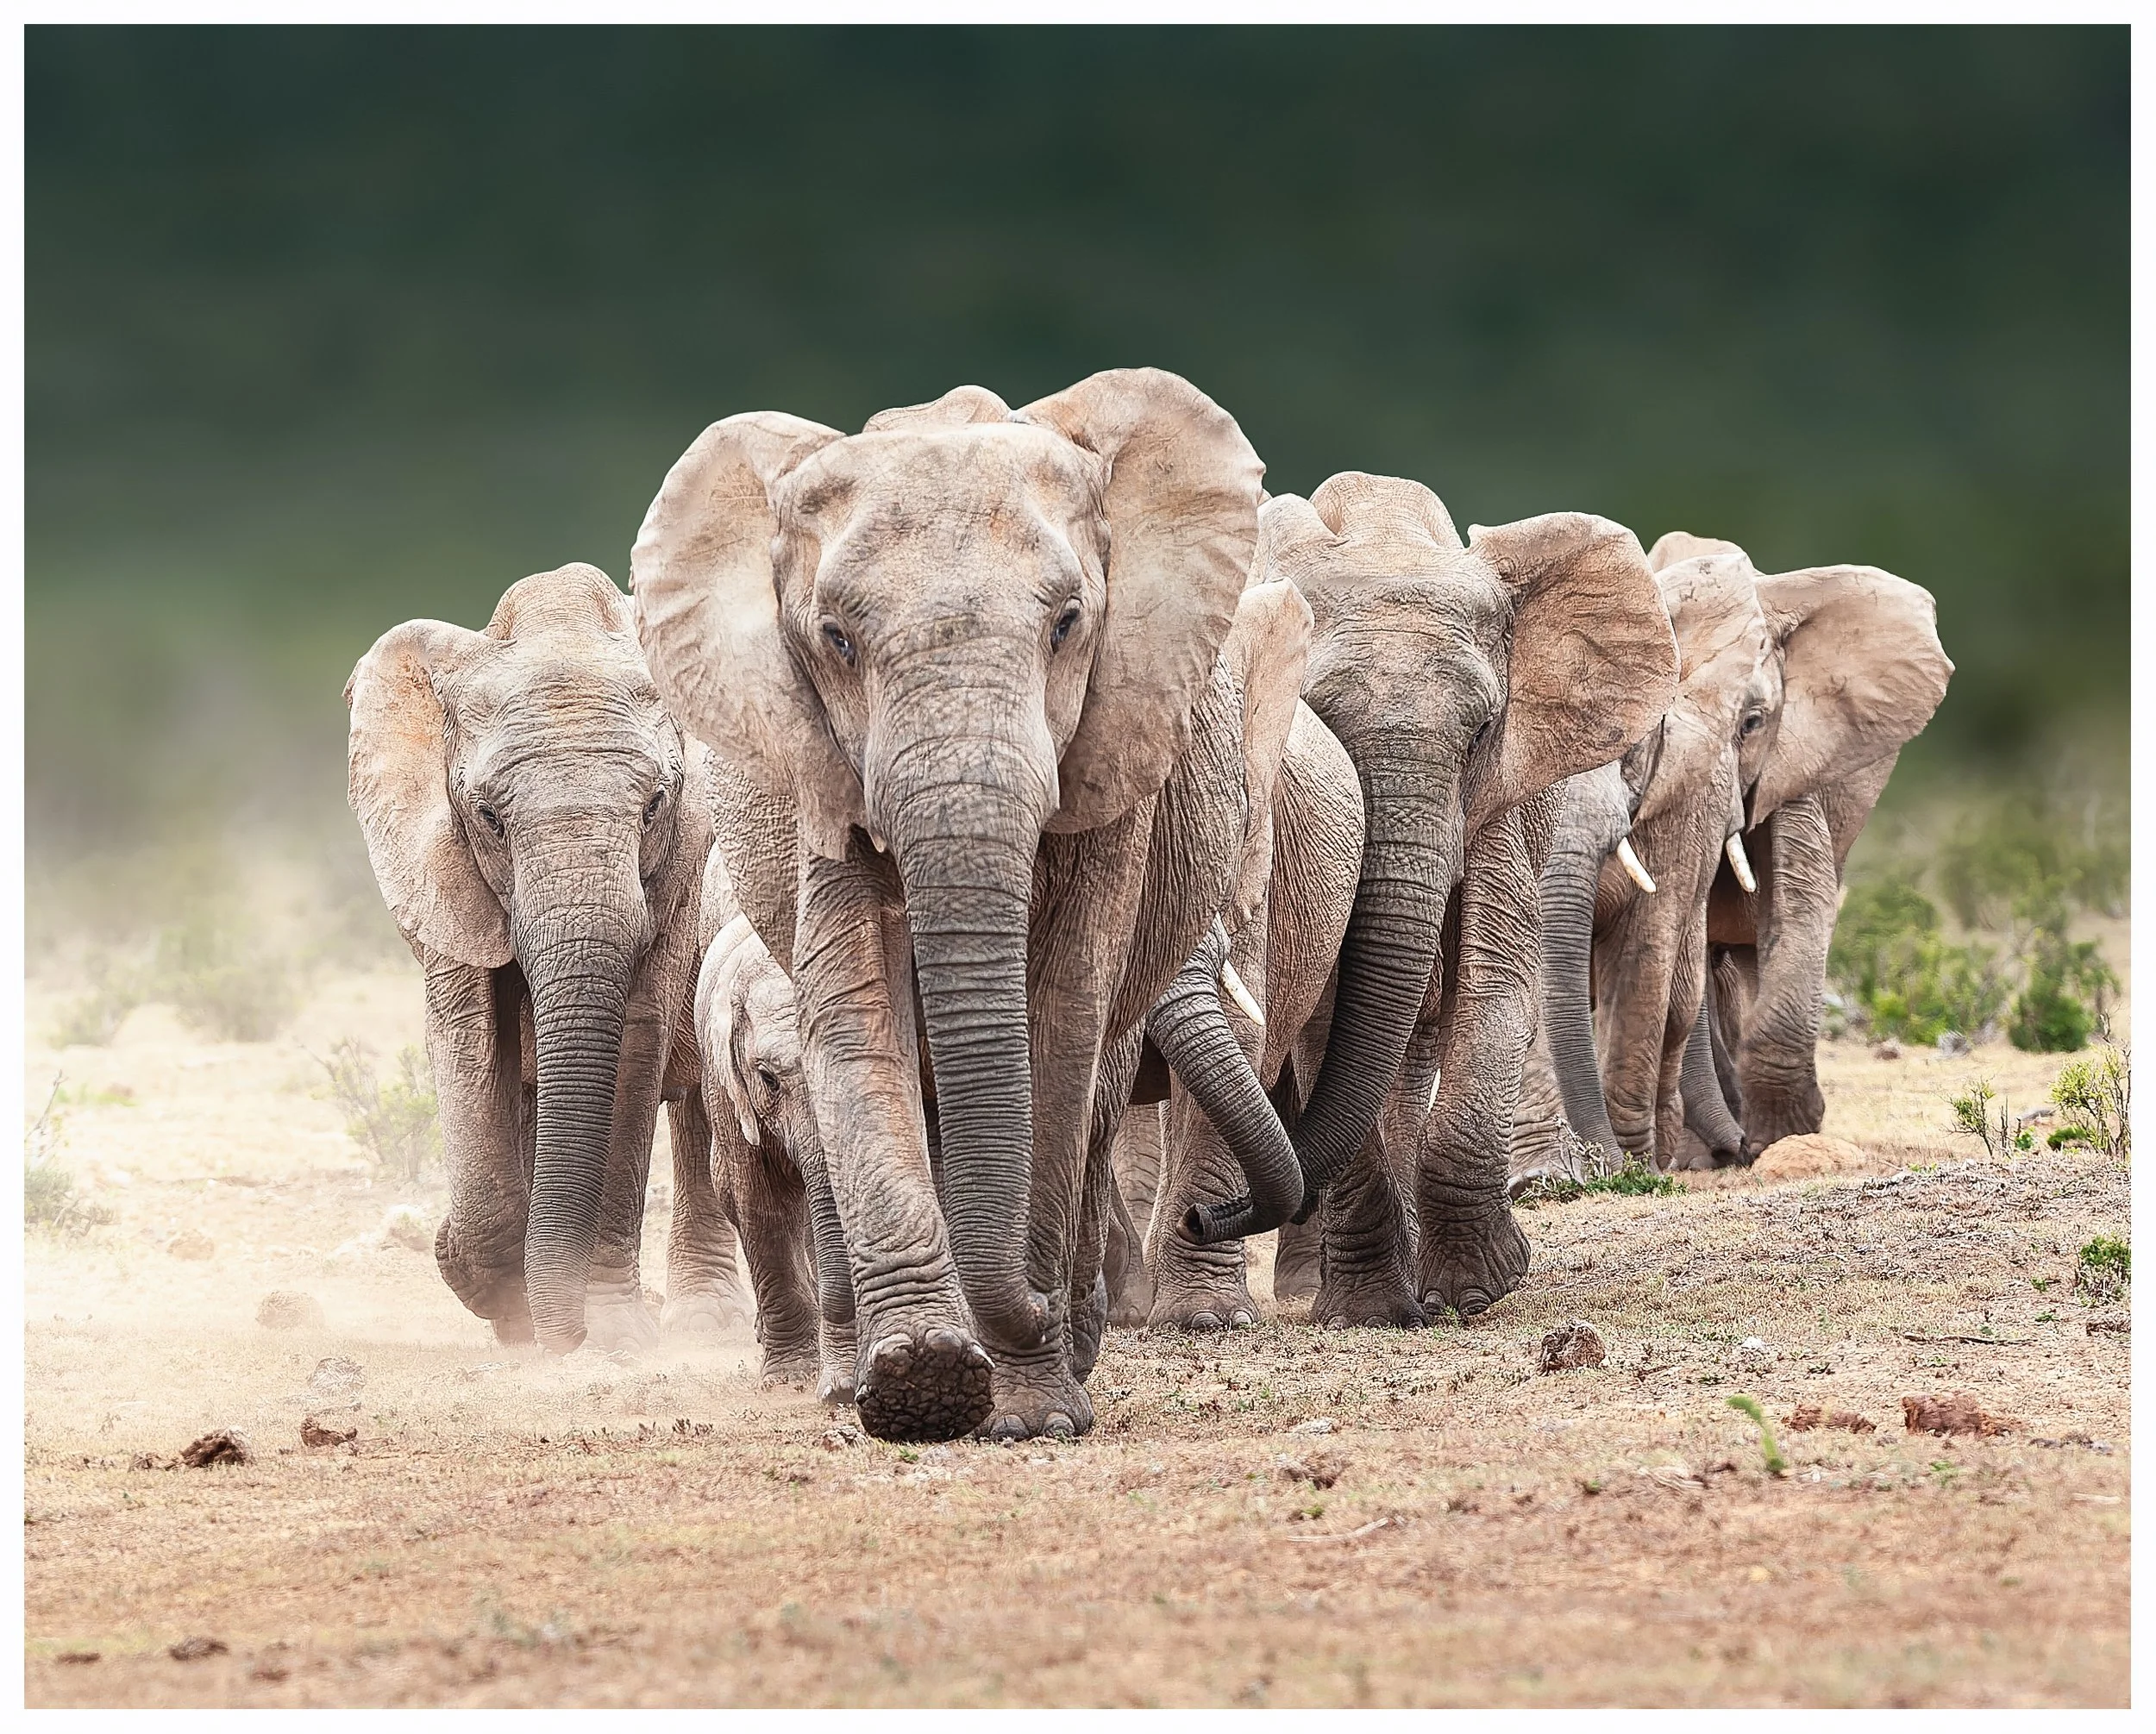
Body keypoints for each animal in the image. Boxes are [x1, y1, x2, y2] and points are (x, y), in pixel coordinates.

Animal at [345, 563, 749, 1354]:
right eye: (488, 817)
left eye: (656, 804)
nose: (567, 1333)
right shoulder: (448, 877)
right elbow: (470, 1043)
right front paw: (502, 1303)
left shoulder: (681, 873)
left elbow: (634, 1039)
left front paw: (613, 1331)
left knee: (700, 1106)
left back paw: (704, 1323)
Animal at [630, 368, 1329, 1443]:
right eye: (834, 639)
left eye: (1067, 623)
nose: (1206, 1217)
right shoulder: (818, 769)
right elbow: (856, 1005)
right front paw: (917, 1378)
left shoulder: (1111, 763)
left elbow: (1060, 1019)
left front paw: (1029, 1411)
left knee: (1090, 1097)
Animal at [1243, 475, 1678, 1328]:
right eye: (1318, 721)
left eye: (1480, 732)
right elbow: (1328, 1013)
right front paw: (1371, 1313)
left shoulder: (1504, 796)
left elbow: (1497, 983)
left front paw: (1479, 1289)